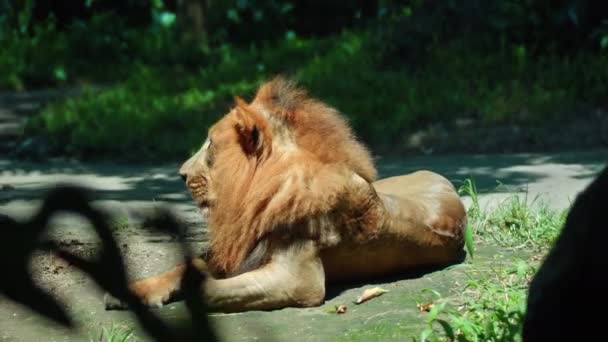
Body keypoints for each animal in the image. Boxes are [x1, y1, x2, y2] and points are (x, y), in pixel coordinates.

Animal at [104, 75, 468, 312]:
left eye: (210, 145)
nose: (180, 173)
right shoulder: (239, 250)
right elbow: (181, 267)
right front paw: (133, 291)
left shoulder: (299, 280)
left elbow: (208, 289)